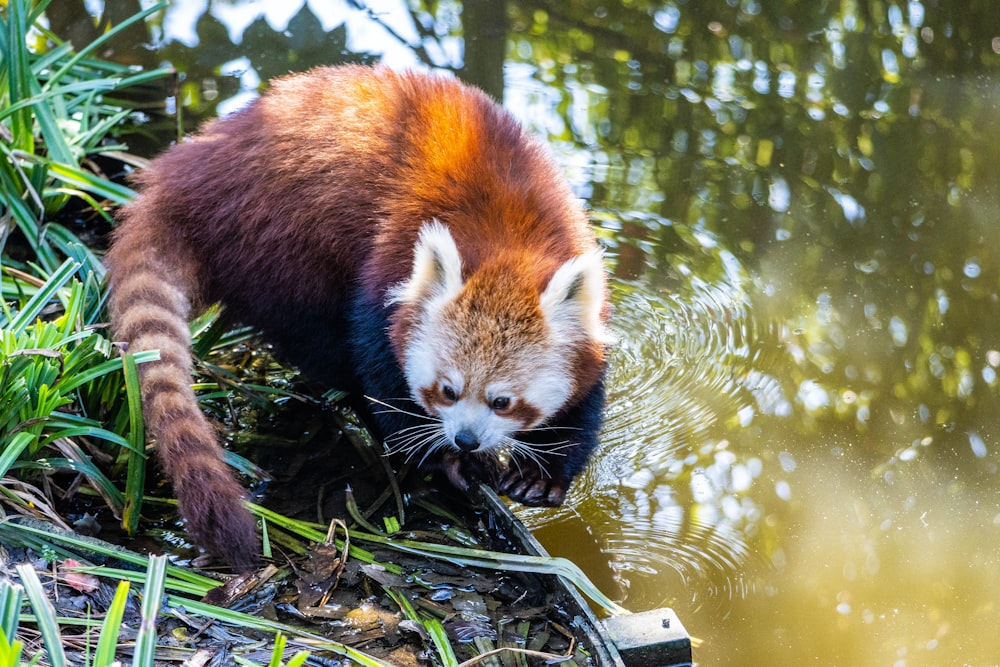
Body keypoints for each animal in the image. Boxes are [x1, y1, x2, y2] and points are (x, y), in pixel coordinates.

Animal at [107, 65, 608, 572]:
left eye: (502, 402)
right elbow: (380, 368)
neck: (509, 236)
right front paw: (441, 458)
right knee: (317, 337)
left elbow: (585, 400)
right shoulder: (390, 261)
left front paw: (543, 472)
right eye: (447, 391)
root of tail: (184, 174)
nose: (466, 439)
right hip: (277, 243)